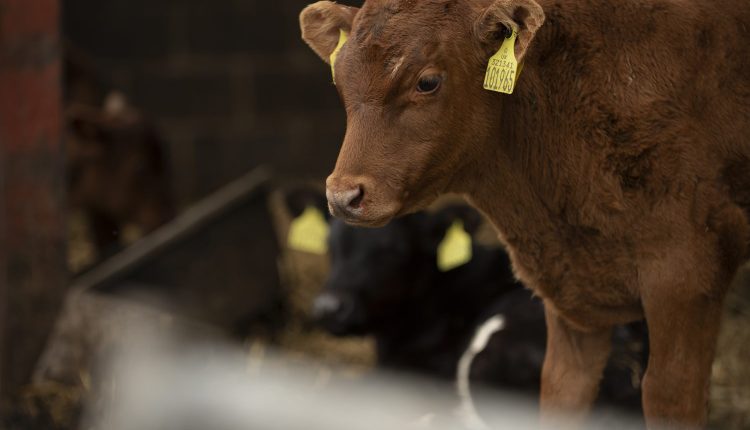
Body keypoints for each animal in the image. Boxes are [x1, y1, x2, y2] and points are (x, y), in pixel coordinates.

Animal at [302, 0, 750, 426]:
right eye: (340, 80)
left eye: (427, 82)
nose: (344, 195)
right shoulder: (571, 292)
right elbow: (561, 390)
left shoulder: (686, 277)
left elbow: (669, 396)